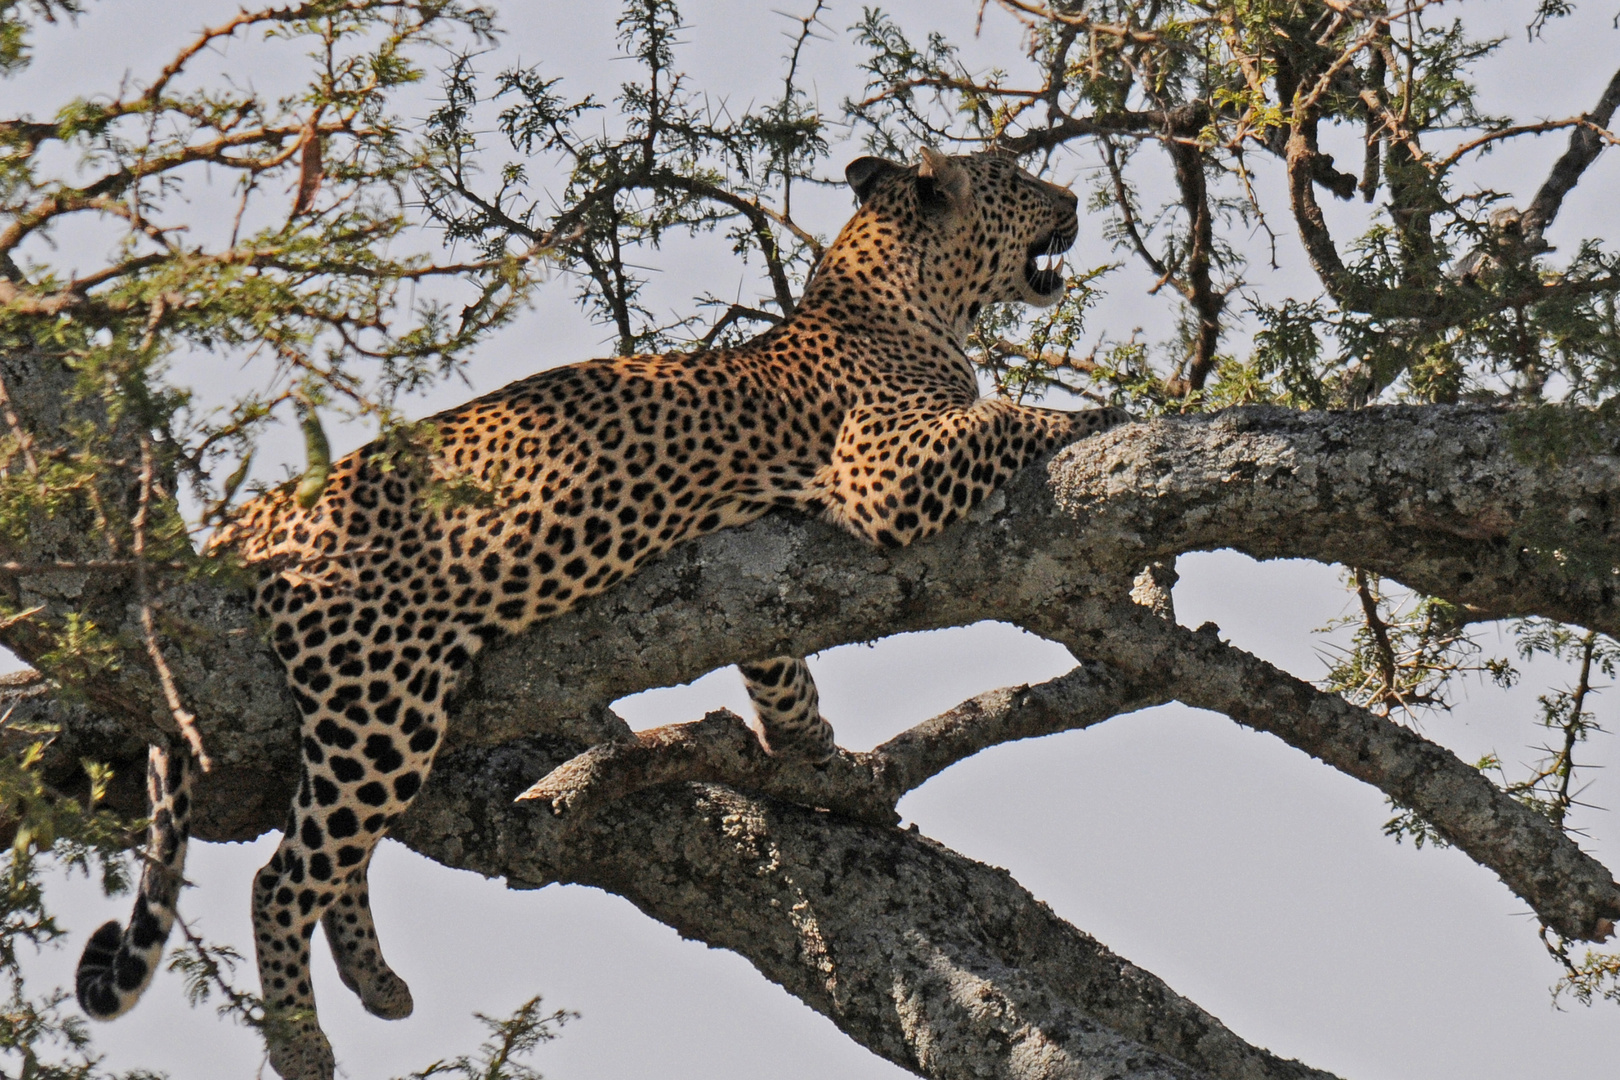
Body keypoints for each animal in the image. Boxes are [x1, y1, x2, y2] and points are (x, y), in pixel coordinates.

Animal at [72, 145, 1127, 1080]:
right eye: (1018, 179)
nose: (1074, 197)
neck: (900, 294)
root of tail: (251, 518)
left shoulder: (762, 567)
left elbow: (778, 664)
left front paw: (811, 749)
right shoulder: (883, 468)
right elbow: (1007, 415)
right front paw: (1096, 416)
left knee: (337, 858)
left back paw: (378, 984)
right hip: (377, 697)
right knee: (285, 875)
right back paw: (302, 1043)